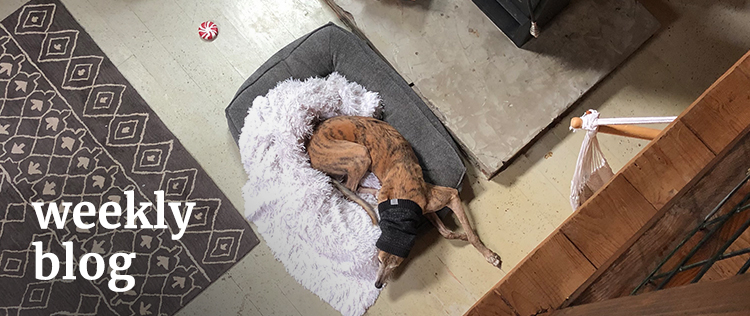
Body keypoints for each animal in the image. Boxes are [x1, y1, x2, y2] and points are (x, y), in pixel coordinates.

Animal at [308, 116, 502, 288]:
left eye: (395, 265)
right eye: (379, 260)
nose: (378, 285)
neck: (398, 205)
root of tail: (310, 147)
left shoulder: (436, 202)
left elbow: (454, 233)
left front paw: (483, 251)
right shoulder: (442, 198)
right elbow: (457, 232)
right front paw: (482, 250)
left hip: (359, 154)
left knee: (349, 187)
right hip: (358, 154)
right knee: (349, 189)